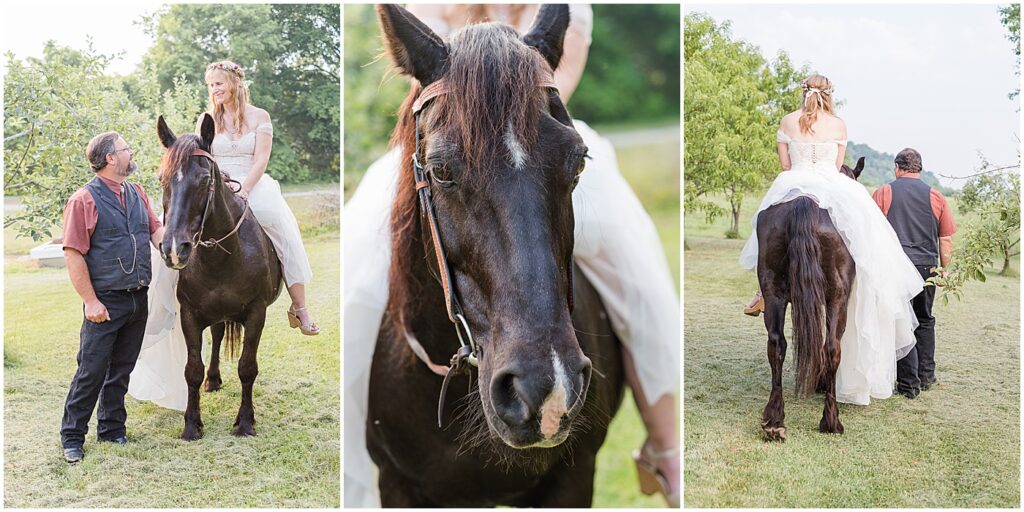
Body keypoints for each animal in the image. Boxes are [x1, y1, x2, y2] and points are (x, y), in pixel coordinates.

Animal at [152, 115, 280, 440]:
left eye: (204, 180)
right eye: (162, 179)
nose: (174, 249)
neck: (222, 256)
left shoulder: (257, 312)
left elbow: (247, 367)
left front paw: (245, 422)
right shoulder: (190, 313)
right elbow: (192, 370)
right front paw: (191, 424)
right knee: (218, 335)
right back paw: (213, 379)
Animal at [753, 155, 864, 440]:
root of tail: (804, 202)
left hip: (773, 292)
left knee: (776, 344)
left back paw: (774, 420)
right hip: (837, 297)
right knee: (833, 347)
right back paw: (831, 421)